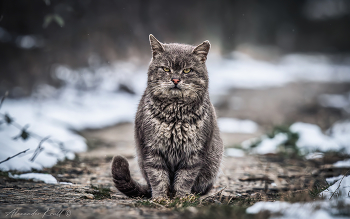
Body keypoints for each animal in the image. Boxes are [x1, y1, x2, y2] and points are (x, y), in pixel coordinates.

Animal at [110, 34, 223, 198]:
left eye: (187, 70)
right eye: (166, 68)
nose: (175, 79)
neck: (175, 114)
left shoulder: (194, 153)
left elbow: (185, 178)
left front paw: (181, 197)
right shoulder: (152, 149)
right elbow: (158, 176)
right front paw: (160, 198)